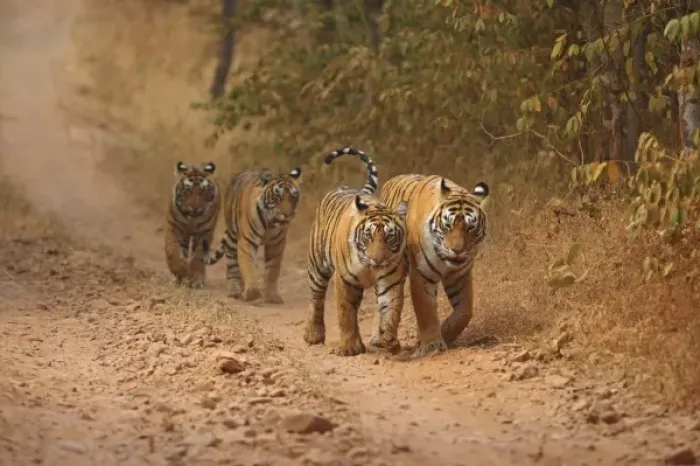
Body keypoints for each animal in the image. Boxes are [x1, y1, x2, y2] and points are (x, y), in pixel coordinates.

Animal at [204, 167, 302, 303]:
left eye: (293, 197)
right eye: (277, 196)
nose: (287, 215)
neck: (270, 223)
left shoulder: (277, 244)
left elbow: (273, 270)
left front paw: (271, 295)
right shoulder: (247, 241)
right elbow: (248, 267)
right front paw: (252, 293)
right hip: (233, 236)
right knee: (232, 263)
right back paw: (234, 290)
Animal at [303, 147, 409, 357]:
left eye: (390, 237)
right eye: (368, 236)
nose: (378, 260)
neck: (369, 267)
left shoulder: (390, 281)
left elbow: (390, 310)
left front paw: (389, 340)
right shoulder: (344, 280)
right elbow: (346, 313)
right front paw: (349, 348)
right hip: (318, 266)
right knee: (316, 298)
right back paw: (313, 334)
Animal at [379, 174, 489, 357]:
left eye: (470, 228)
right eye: (448, 225)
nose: (457, 250)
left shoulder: (460, 275)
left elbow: (465, 311)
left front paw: (445, 333)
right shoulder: (421, 274)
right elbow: (426, 310)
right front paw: (432, 344)